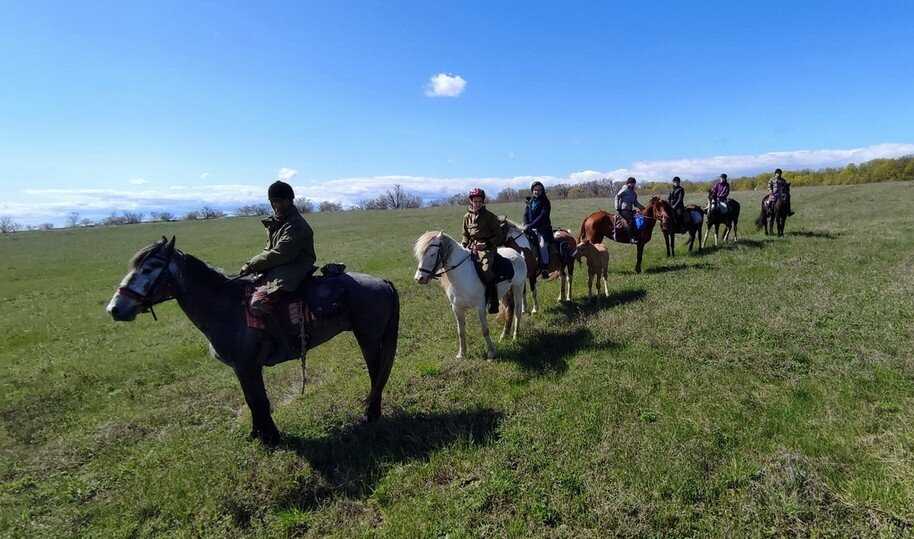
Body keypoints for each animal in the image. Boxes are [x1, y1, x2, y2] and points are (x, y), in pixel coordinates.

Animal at [105, 238, 398, 446]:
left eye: (149, 268)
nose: (115, 309)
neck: (224, 305)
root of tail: (382, 281)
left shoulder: (247, 366)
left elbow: (258, 400)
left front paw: (270, 438)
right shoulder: (242, 368)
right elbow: (251, 400)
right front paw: (258, 434)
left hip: (368, 338)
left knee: (376, 372)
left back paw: (370, 414)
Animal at [412, 231, 524, 360]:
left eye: (432, 254)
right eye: (420, 255)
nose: (419, 278)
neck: (462, 274)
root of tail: (517, 254)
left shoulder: (480, 307)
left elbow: (485, 330)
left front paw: (491, 353)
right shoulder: (457, 308)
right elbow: (460, 331)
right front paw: (462, 353)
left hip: (518, 288)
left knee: (517, 311)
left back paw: (515, 337)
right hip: (505, 293)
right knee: (508, 310)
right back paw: (504, 336)